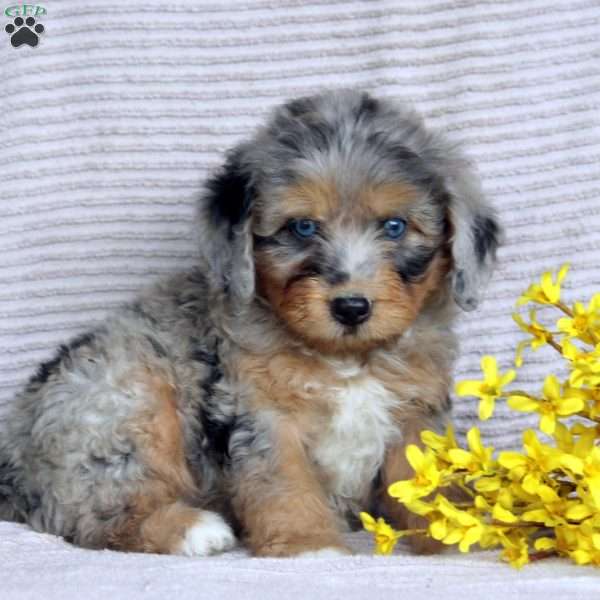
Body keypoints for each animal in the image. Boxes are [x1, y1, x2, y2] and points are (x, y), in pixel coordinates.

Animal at [0, 90, 500, 556]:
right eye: (302, 227)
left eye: (394, 227)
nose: (352, 307)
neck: (346, 358)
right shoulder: (261, 414)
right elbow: (285, 483)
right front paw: (308, 545)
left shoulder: (415, 411)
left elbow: (425, 481)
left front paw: (453, 532)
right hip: (127, 402)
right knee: (96, 517)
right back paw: (193, 530)